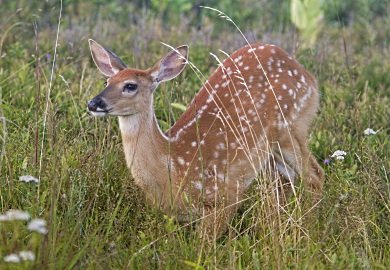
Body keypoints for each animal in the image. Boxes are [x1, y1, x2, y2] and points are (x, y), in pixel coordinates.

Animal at [87, 38, 322, 238]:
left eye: (130, 86)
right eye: (107, 81)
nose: (93, 103)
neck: (173, 165)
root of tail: (309, 76)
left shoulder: (225, 193)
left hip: (291, 125)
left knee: (314, 175)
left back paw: (310, 228)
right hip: (270, 151)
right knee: (288, 180)